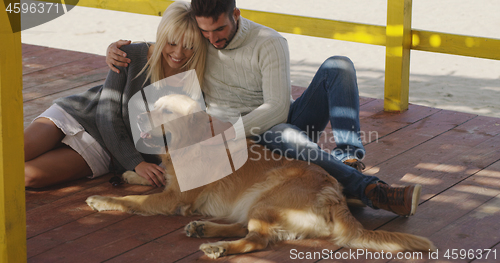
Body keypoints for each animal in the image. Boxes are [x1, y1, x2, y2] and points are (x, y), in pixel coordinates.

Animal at [86, 94, 434, 258]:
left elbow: (133, 201)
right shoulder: (170, 184)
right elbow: (150, 178)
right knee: (246, 228)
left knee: (257, 239)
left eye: (167, 112)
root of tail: (334, 194)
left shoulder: (173, 198)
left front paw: (103, 199)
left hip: (266, 199)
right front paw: (132, 173)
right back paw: (204, 229)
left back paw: (218, 247)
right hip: (256, 203)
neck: (188, 143)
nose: (136, 117)